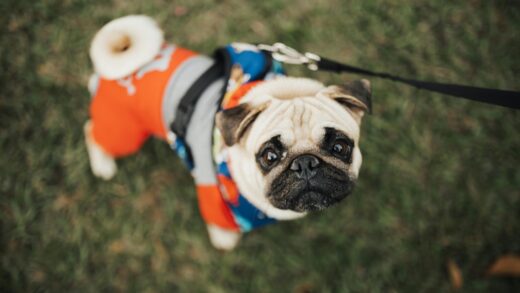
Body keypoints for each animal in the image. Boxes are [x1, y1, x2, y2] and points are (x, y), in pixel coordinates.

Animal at [85, 15, 370, 249]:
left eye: (339, 147)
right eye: (269, 156)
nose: (305, 163)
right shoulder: (214, 197)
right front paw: (225, 240)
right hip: (124, 133)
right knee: (91, 131)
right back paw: (103, 165)